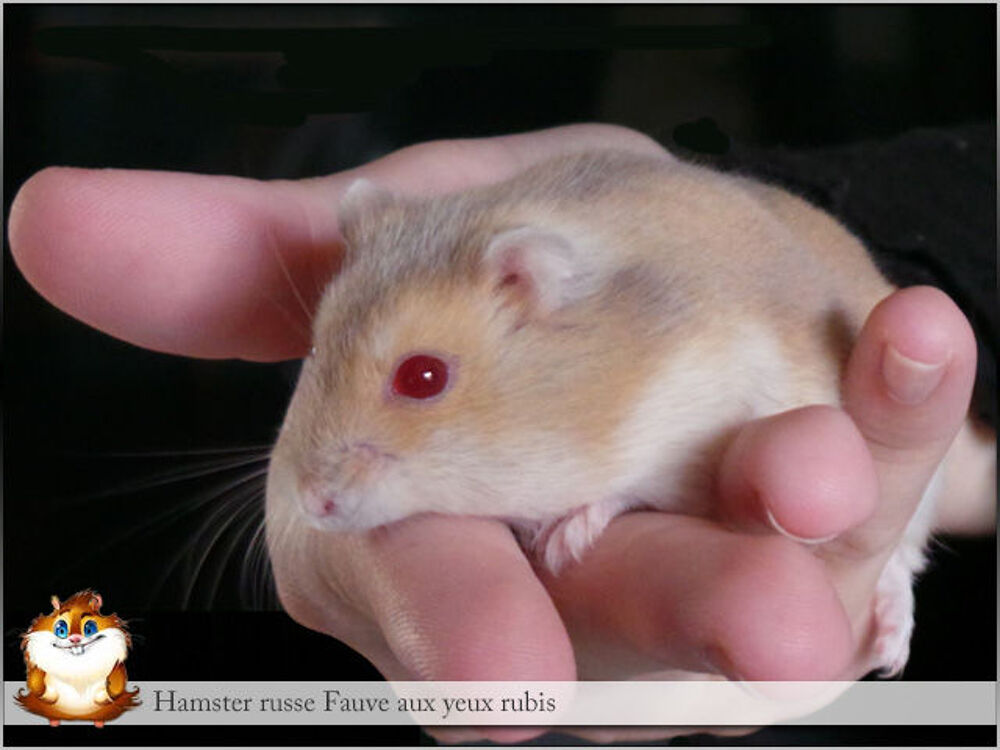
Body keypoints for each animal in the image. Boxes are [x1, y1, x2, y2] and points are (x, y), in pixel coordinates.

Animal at [16, 590, 140, 726]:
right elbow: (36, 683)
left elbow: (116, 686)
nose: (75, 639)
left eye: (89, 629)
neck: (77, 668)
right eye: (61, 630)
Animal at [265, 149, 945, 675]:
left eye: (422, 377)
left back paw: (891, 651)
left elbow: (630, 490)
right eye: (316, 348)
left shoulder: (697, 424)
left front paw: (562, 542)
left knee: (902, 564)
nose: (313, 504)